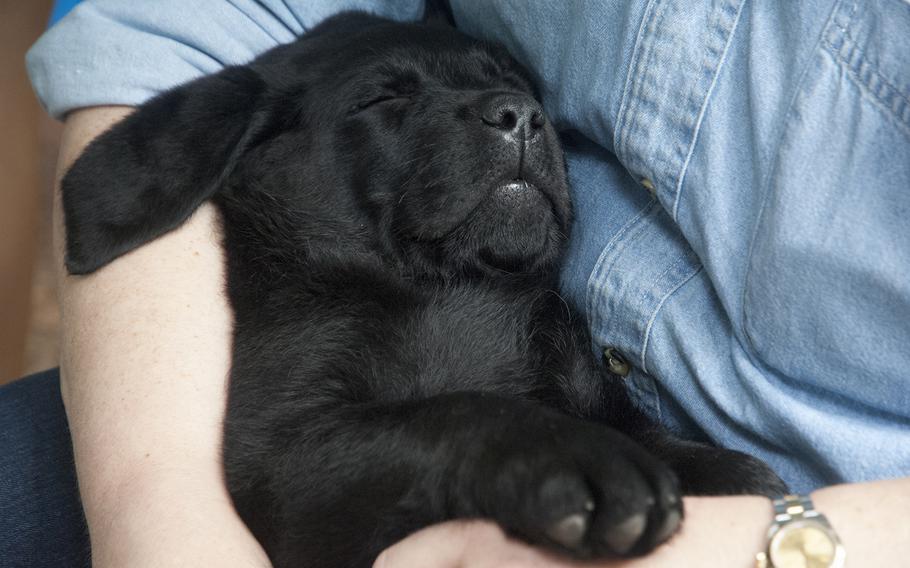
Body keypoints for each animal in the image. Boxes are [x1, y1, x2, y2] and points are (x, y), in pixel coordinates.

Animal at [60, 12, 788, 568]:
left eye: (518, 84)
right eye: (384, 99)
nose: (523, 116)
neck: (453, 294)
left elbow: (680, 446)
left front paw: (732, 473)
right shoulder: (280, 459)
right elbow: (453, 413)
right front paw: (576, 457)